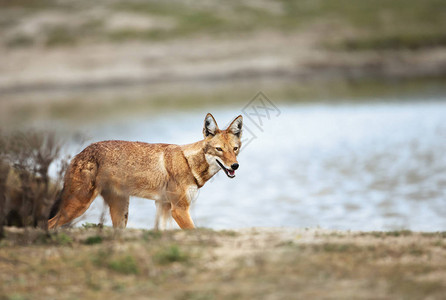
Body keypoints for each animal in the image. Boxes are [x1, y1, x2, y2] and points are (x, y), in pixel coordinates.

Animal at [48, 113, 244, 230]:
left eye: (235, 149)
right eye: (219, 149)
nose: (235, 166)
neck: (189, 163)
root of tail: (80, 153)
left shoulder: (163, 206)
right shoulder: (179, 209)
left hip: (121, 213)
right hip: (78, 206)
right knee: (49, 224)